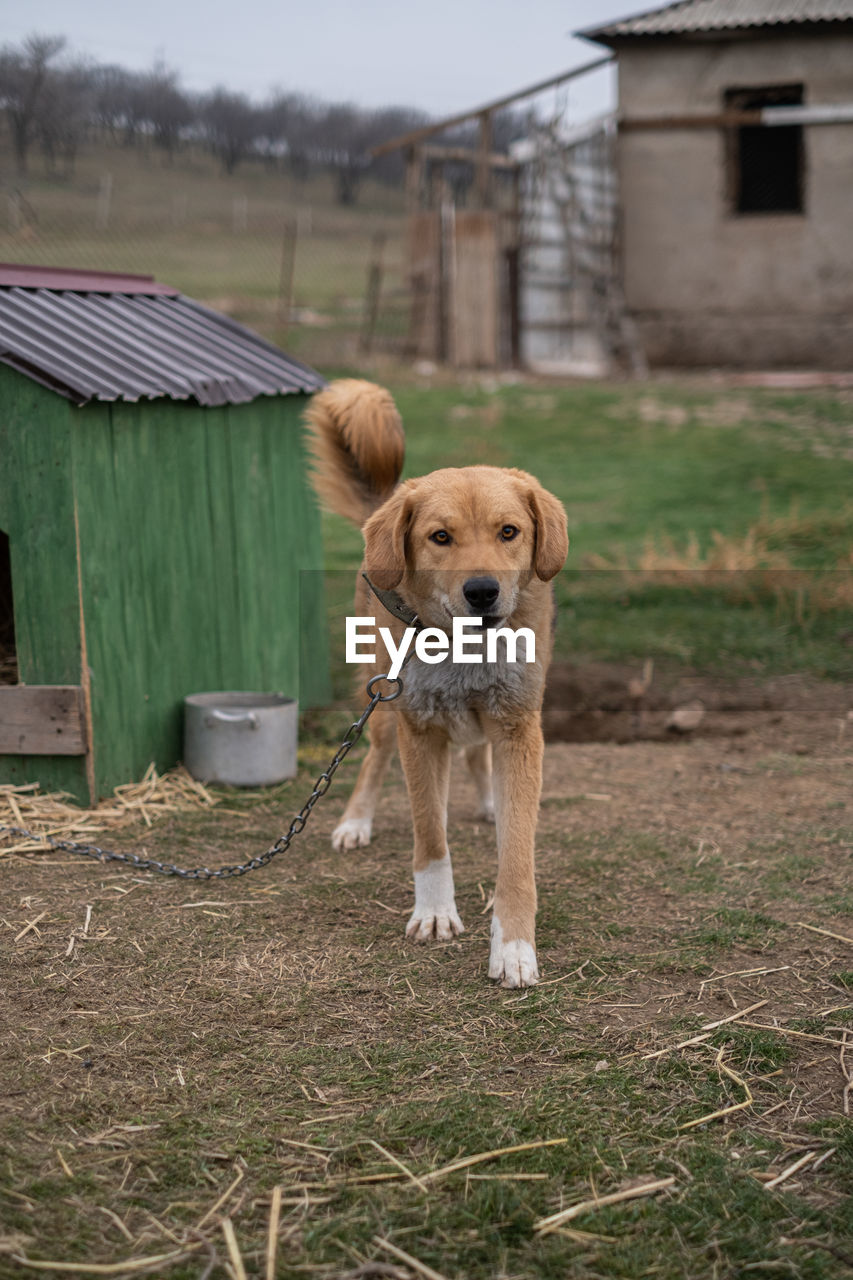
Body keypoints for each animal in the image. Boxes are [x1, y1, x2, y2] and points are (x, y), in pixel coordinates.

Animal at [306, 378, 563, 988]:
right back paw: (355, 821)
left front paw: (513, 946)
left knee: (476, 755)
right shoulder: (418, 728)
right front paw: (435, 912)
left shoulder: (518, 727)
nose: (482, 590)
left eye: (509, 532)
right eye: (440, 537)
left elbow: (516, 854)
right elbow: (430, 834)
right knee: (373, 758)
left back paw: (489, 800)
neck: (466, 652)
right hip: (381, 704)